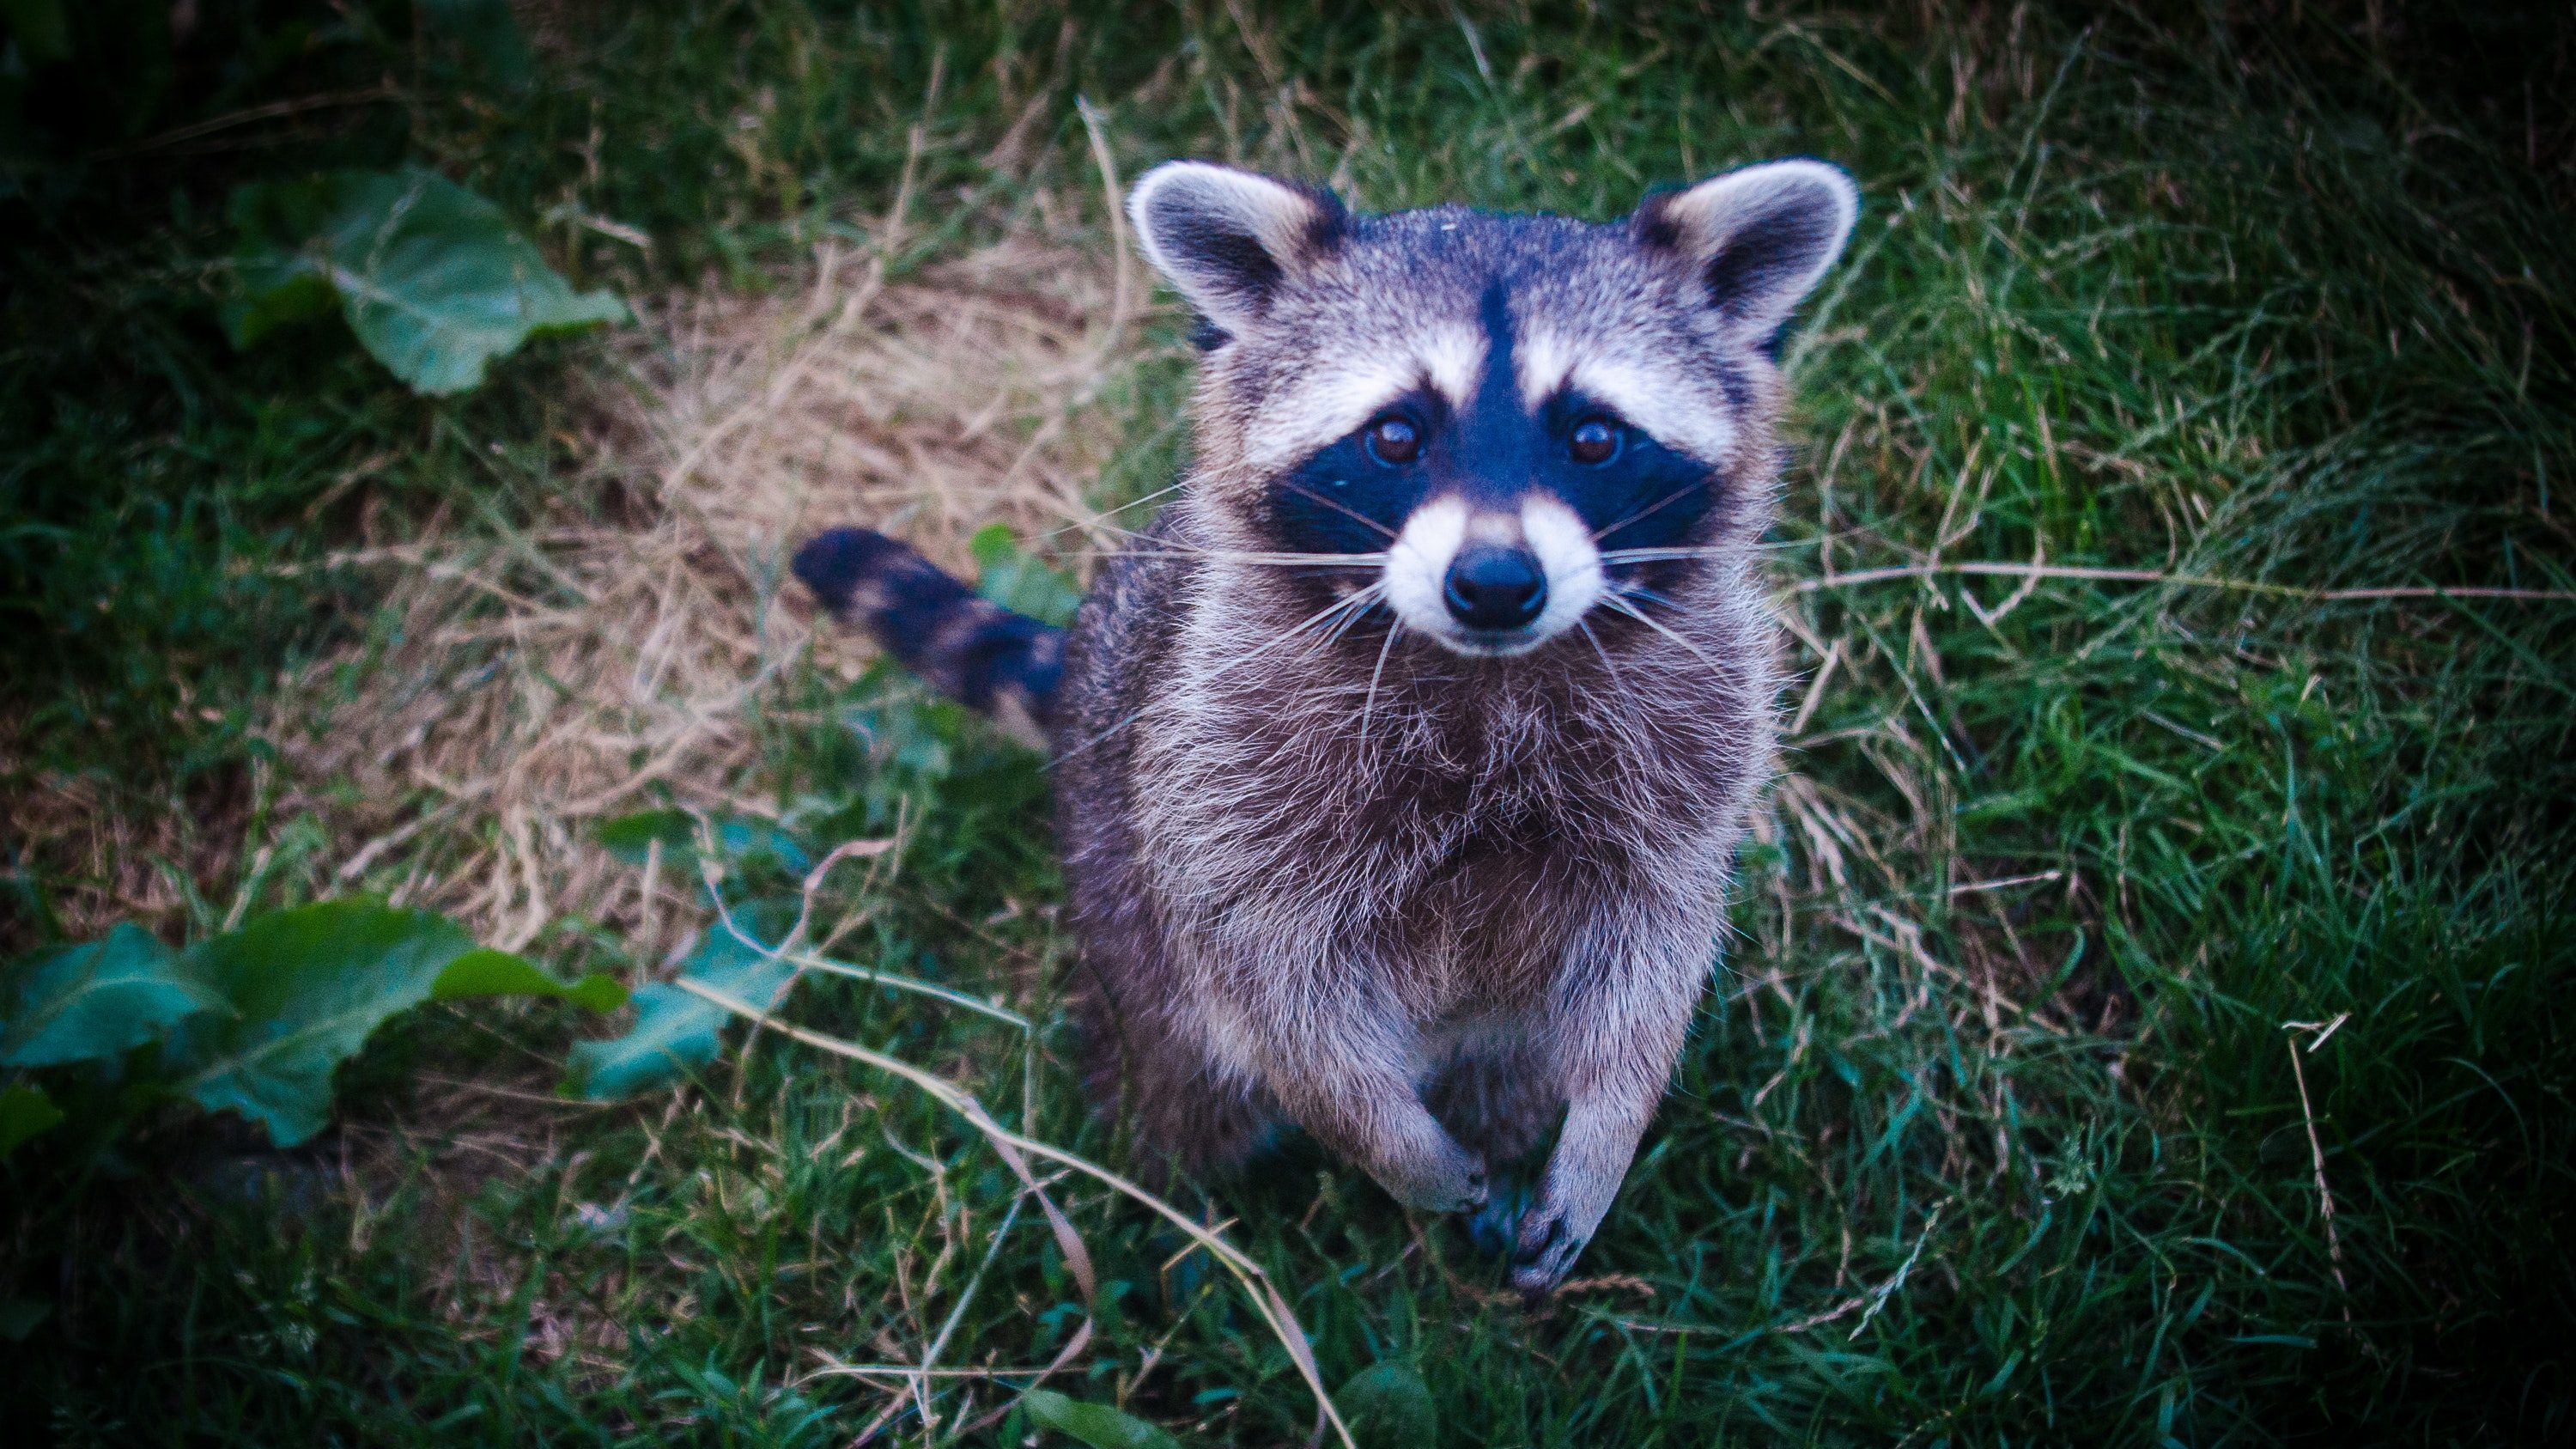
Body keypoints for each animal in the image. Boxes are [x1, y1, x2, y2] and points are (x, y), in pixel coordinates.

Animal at [793, 155, 1865, 1283]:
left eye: (1593, 435)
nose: (1496, 583)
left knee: (1513, 1065)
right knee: (1174, 1076)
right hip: (1112, 867)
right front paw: (1384, 1138)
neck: (1483, 670)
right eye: (1396, 434)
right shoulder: (1221, 766)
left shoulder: (1696, 741)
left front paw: (1610, 1126)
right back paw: (1171, 1204)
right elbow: (1269, 986)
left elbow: (1657, 952)